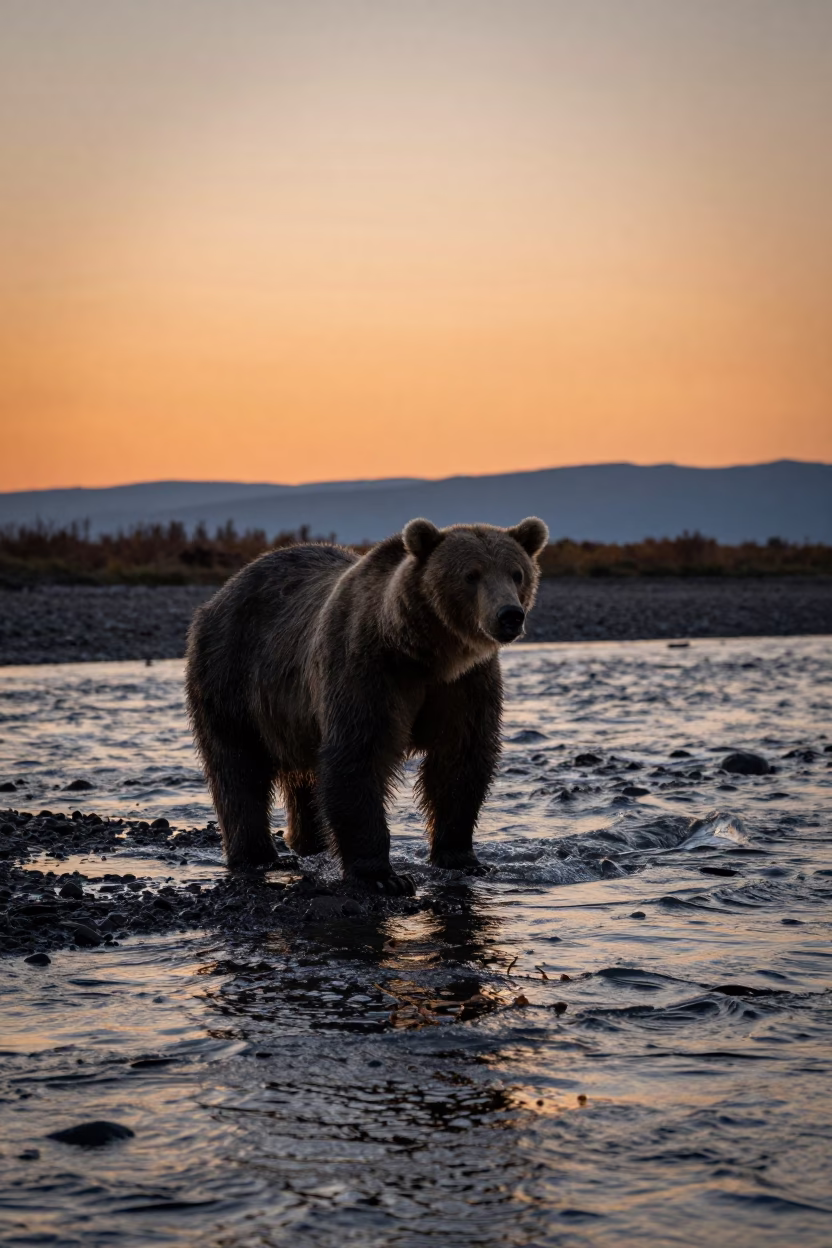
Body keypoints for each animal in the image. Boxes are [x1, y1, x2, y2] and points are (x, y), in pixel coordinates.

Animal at [185, 515, 549, 894]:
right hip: (231, 673)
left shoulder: (465, 684)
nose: (509, 615)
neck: (426, 653)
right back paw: (259, 856)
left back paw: (309, 843)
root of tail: (224, 590)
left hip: (292, 715)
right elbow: (359, 755)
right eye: (471, 574)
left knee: (303, 778)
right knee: (238, 766)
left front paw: (464, 858)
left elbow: (461, 759)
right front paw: (384, 876)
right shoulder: (368, 668)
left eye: (517, 573)